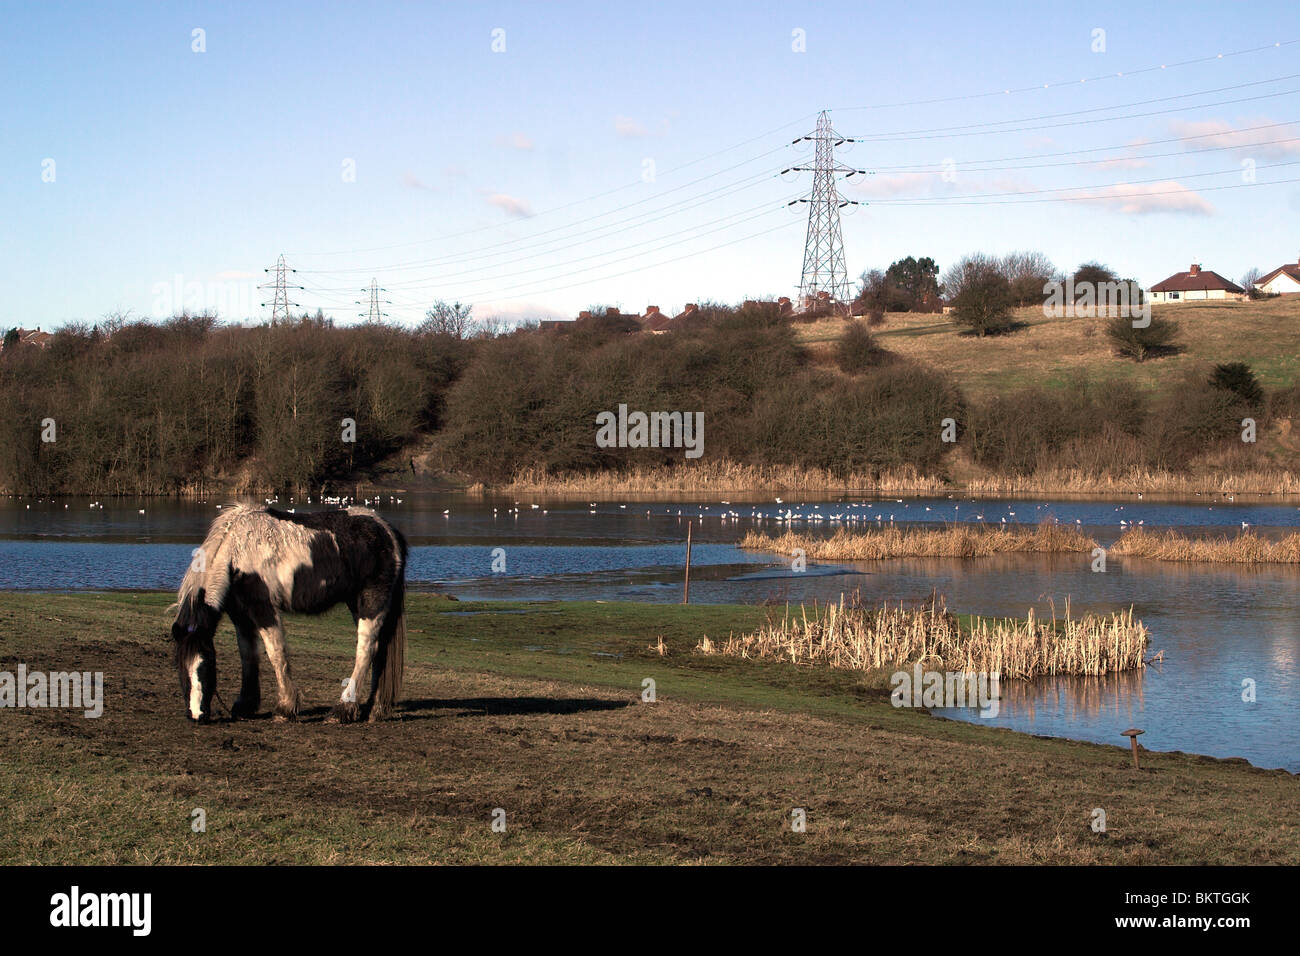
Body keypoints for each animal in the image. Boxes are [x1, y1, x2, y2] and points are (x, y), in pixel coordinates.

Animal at [170, 504, 405, 723]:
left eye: (206, 665)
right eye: (180, 666)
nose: (197, 715)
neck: (235, 551)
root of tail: (387, 531)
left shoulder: (263, 609)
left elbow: (276, 653)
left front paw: (285, 709)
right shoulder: (241, 616)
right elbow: (248, 655)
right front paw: (245, 706)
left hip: (371, 603)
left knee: (366, 651)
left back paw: (342, 710)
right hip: (356, 604)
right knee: (380, 652)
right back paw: (373, 709)